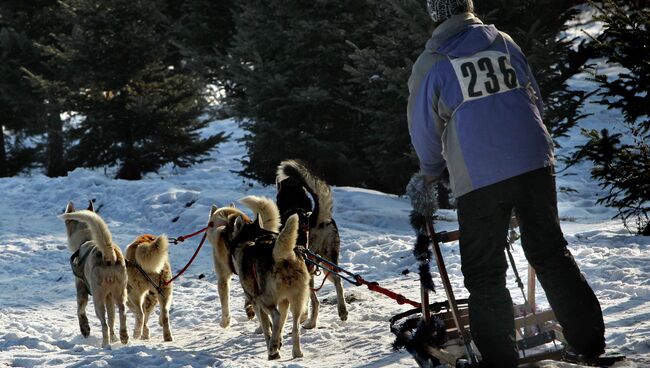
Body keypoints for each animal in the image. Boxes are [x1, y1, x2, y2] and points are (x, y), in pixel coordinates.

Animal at [61, 203, 130, 350]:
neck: (87, 240)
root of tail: (108, 255)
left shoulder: (81, 288)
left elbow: (80, 310)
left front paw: (85, 329)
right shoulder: (109, 297)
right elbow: (112, 319)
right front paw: (114, 338)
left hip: (98, 299)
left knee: (103, 323)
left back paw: (105, 344)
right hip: (120, 292)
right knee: (121, 313)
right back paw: (123, 336)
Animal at [274, 159, 346, 328]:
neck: (295, 205)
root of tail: (314, 220)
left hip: (313, 266)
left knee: (316, 301)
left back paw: (311, 323)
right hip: (326, 261)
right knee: (338, 281)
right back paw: (342, 311)